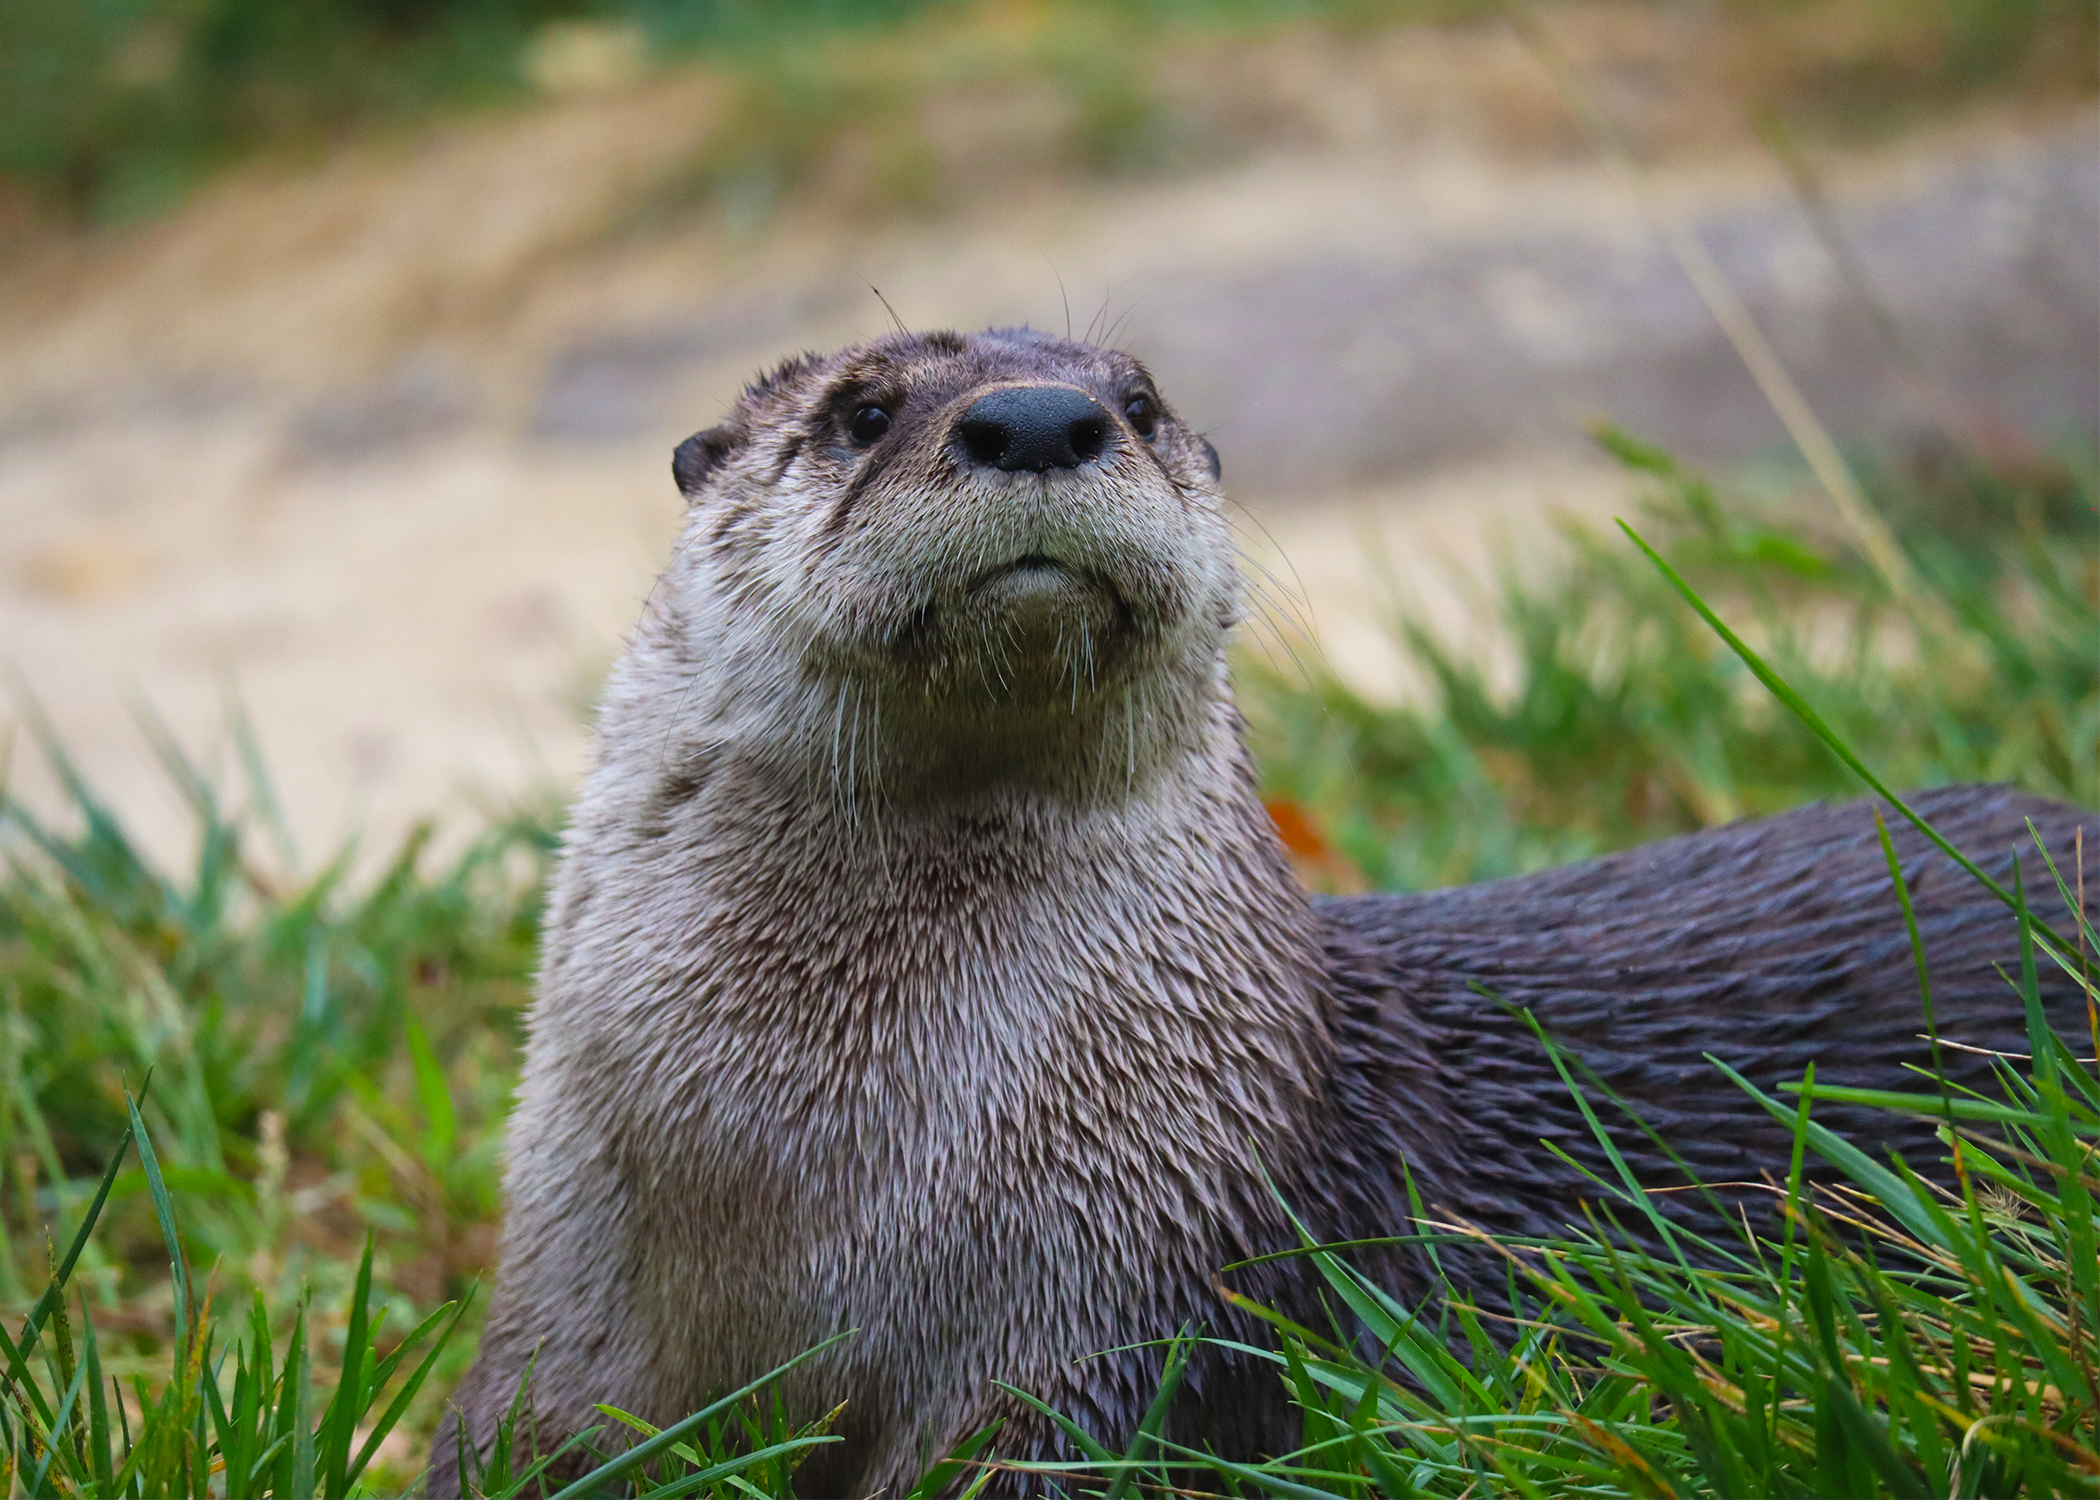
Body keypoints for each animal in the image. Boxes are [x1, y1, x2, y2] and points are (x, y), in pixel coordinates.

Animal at [434, 334, 2091, 1487]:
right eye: (859, 407)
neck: (814, 1173)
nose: (1039, 417)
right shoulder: (565, 1306)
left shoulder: (1119, 1296)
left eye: (1141, 396)